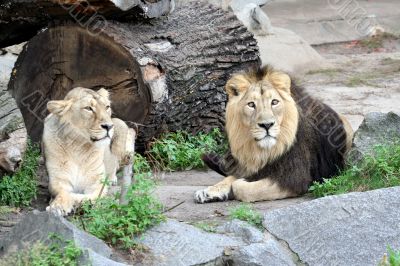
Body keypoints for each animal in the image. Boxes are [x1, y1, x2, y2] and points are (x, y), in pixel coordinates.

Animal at [43, 87, 135, 216]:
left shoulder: (97, 184)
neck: (78, 146)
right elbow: (63, 193)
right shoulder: (58, 180)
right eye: (88, 108)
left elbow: (87, 197)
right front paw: (57, 206)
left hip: (121, 125)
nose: (108, 126)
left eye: (107, 107)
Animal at [194, 65, 354, 203]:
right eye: (251, 104)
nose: (267, 125)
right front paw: (209, 191)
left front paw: (241, 183)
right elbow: (230, 178)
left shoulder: (294, 178)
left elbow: (241, 187)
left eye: (274, 102)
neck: (265, 151)